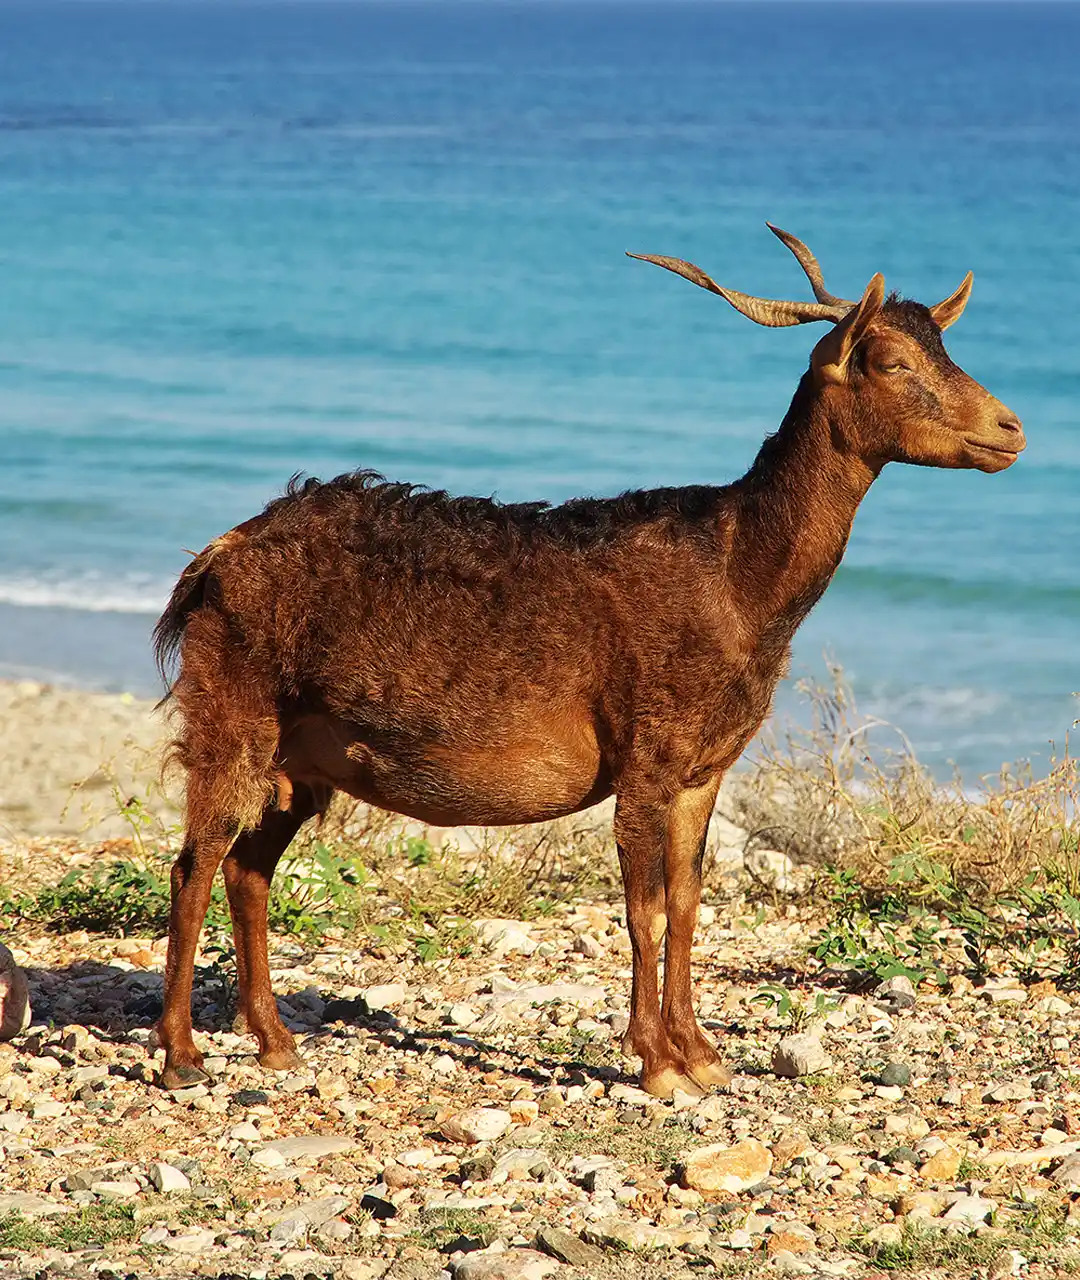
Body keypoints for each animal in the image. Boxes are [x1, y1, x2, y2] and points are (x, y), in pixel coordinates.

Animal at [152, 225, 1024, 1098]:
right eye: (892, 361)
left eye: (944, 344)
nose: (1011, 429)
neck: (739, 579)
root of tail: (214, 560)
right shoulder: (645, 752)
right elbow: (643, 908)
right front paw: (657, 1062)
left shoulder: (704, 768)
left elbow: (688, 902)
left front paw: (702, 1053)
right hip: (233, 708)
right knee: (195, 863)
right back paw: (181, 1054)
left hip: (302, 755)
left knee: (249, 868)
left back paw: (273, 1040)